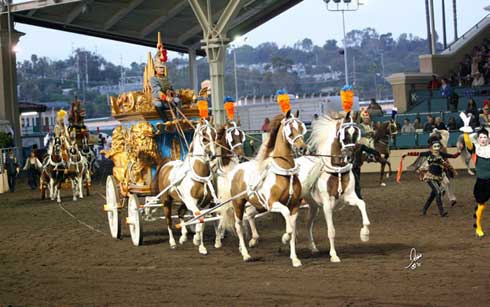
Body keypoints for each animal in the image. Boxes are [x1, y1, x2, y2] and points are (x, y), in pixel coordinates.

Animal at [151, 119, 216, 255]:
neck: (199, 174)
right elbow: (199, 221)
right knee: (169, 220)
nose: (213, 155)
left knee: (180, 213)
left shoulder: (204, 204)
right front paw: (198, 242)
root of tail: (167, 164)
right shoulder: (192, 202)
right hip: (166, 200)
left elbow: (201, 223)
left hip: (183, 201)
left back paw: (183, 236)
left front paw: (199, 244)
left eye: (215, 135)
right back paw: (172, 242)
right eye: (204, 137)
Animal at [224, 110, 308, 268]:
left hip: (259, 205)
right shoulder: (272, 203)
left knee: (250, 215)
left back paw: (252, 241)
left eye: (301, 127)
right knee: (239, 226)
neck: (285, 173)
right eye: (290, 129)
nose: (303, 148)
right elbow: (287, 220)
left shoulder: (295, 206)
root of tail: (236, 170)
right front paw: (284, 237)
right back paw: (245, 254)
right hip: (238, 204)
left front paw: (295, 259)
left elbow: (293, 229)